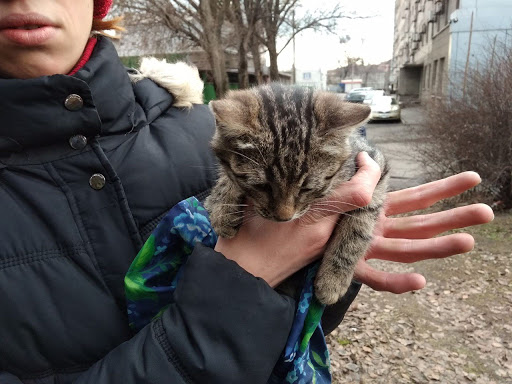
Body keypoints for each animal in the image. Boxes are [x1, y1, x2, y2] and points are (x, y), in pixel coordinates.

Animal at [204, 84, 388, 306]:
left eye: (306, 188)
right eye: (262, 186)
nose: (284, 217)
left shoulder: (376, 167)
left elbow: (358, 227)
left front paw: (334, 278)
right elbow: (227, 176)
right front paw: (221, 208)